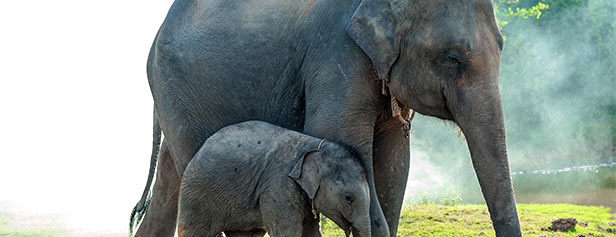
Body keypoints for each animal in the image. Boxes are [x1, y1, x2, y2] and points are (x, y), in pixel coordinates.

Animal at [177, 121, 370, 236]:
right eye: (348, 198)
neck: (312, 145)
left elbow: (310, 230)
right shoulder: (279, 184)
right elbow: (286, 231)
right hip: (196, 195)